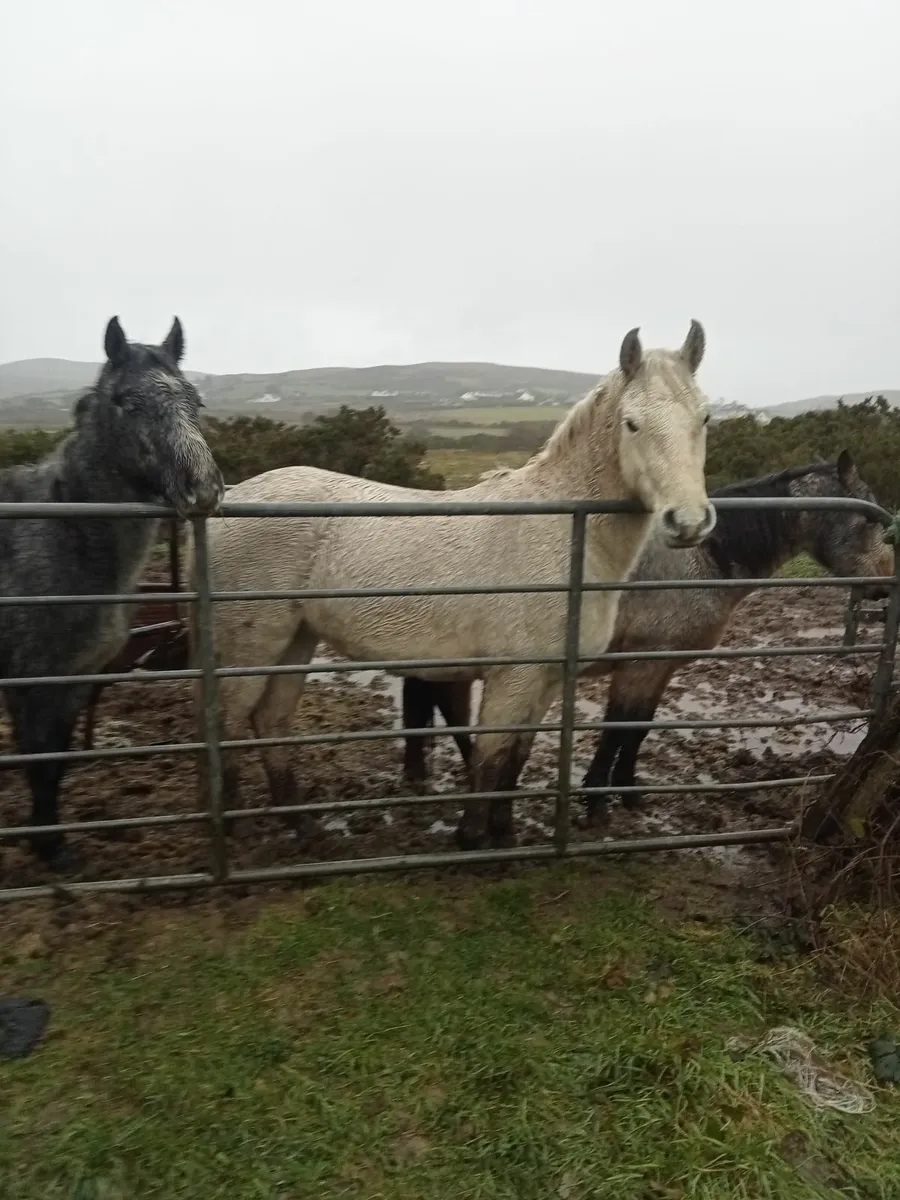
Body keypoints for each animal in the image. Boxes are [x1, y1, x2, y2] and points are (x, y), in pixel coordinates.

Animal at [0, 317, 224, 869]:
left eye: (195, 401)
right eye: (125, 401)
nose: (203, 490)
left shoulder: (76, 678)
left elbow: (56, 760)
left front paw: (52, 842)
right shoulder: (31, 682)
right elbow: (39, 757)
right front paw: (49, 849)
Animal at [191, 321, 716, 851]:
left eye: (705, 418)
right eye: (632, 424)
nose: (687, 522)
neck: (562, 530)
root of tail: (229, 500)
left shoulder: (546, 679)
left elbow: (516, 757)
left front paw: (505, 833)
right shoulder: (513, 676)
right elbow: (490, 755)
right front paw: (472, 838)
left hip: (296, 639)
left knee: (270, 721)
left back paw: (302, 826)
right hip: (253, 648)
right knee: (230, 722)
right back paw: (234, 830)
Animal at [399, 453, 893, 825]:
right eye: (867, 518)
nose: (883, 586)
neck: (699, 558)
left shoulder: (661, 666)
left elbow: (639, 728)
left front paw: (628, 792)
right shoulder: (641, 664)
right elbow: (618, 728)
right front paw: (596, 802)